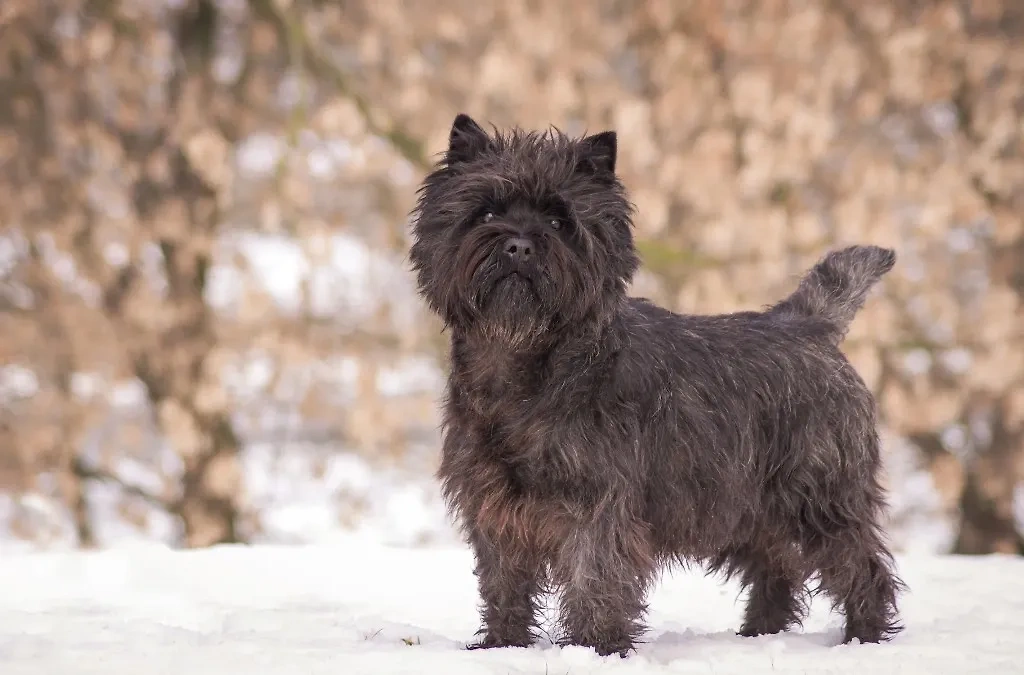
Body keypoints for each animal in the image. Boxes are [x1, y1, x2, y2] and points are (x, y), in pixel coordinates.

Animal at [407, 113, 905, 655]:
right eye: (487, 212)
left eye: (560, 222)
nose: (518, 244)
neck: (524, 369)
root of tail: (808, 325)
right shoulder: (496, 504)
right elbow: (504, 580)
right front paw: (503, 644)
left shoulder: (599, 504)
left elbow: (595, 576)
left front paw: (597, 647)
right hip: (746, 506)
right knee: (778, 566)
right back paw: (759, 633)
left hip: (819, 497)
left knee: (860, 564)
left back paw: (864, 637)